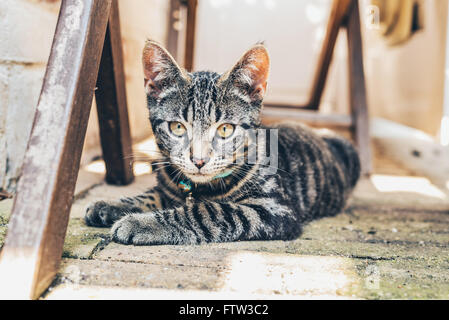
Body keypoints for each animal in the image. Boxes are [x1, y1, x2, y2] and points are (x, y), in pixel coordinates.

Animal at [84, 40, 358, 245]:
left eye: (225, 129)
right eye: (177, 127)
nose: (199, 160)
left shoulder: (273, 210)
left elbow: (209, 211)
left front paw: (142, 222)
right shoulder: (169, 185)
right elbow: (152, 194)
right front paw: (111, 204)